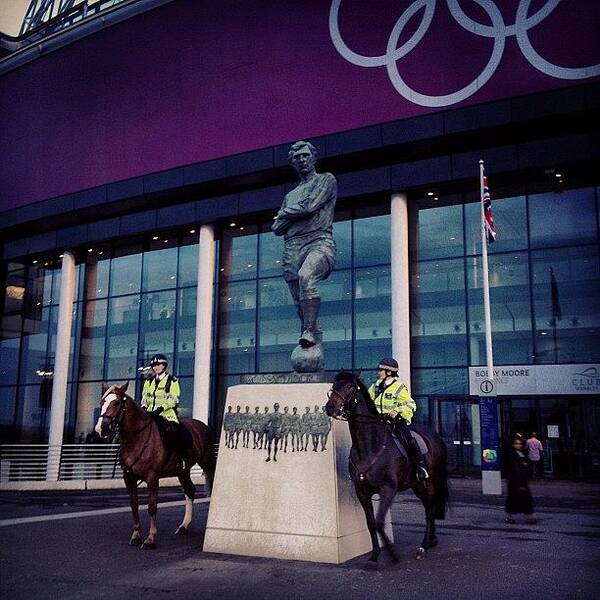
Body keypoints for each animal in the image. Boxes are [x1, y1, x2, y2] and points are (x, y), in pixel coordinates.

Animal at [97, 384, 219, 548]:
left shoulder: (152, 477)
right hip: (183, 471)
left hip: (208, 463)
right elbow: (134, 505)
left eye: (116, 402)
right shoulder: (128, 478)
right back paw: (184, 526)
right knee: (190, 490)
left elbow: (152, 506)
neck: (138, 437)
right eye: (102, 402)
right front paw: (136, 536)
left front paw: (150, 539)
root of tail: (204, 426)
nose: (100, 429)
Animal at [326, 370, 448, 568]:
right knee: (428, 506)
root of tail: (435, 436)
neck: (370, 447)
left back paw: (423, 547)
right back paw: (431, 540)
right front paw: (374, 557)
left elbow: (380, 521)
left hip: (430, 482)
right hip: (417, 485)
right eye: (334, 385)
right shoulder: (362, 491)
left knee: (430, 509)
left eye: (350, 387)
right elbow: (371, 523)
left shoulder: (388, 490)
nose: (330, 408)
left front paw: (393, 554)